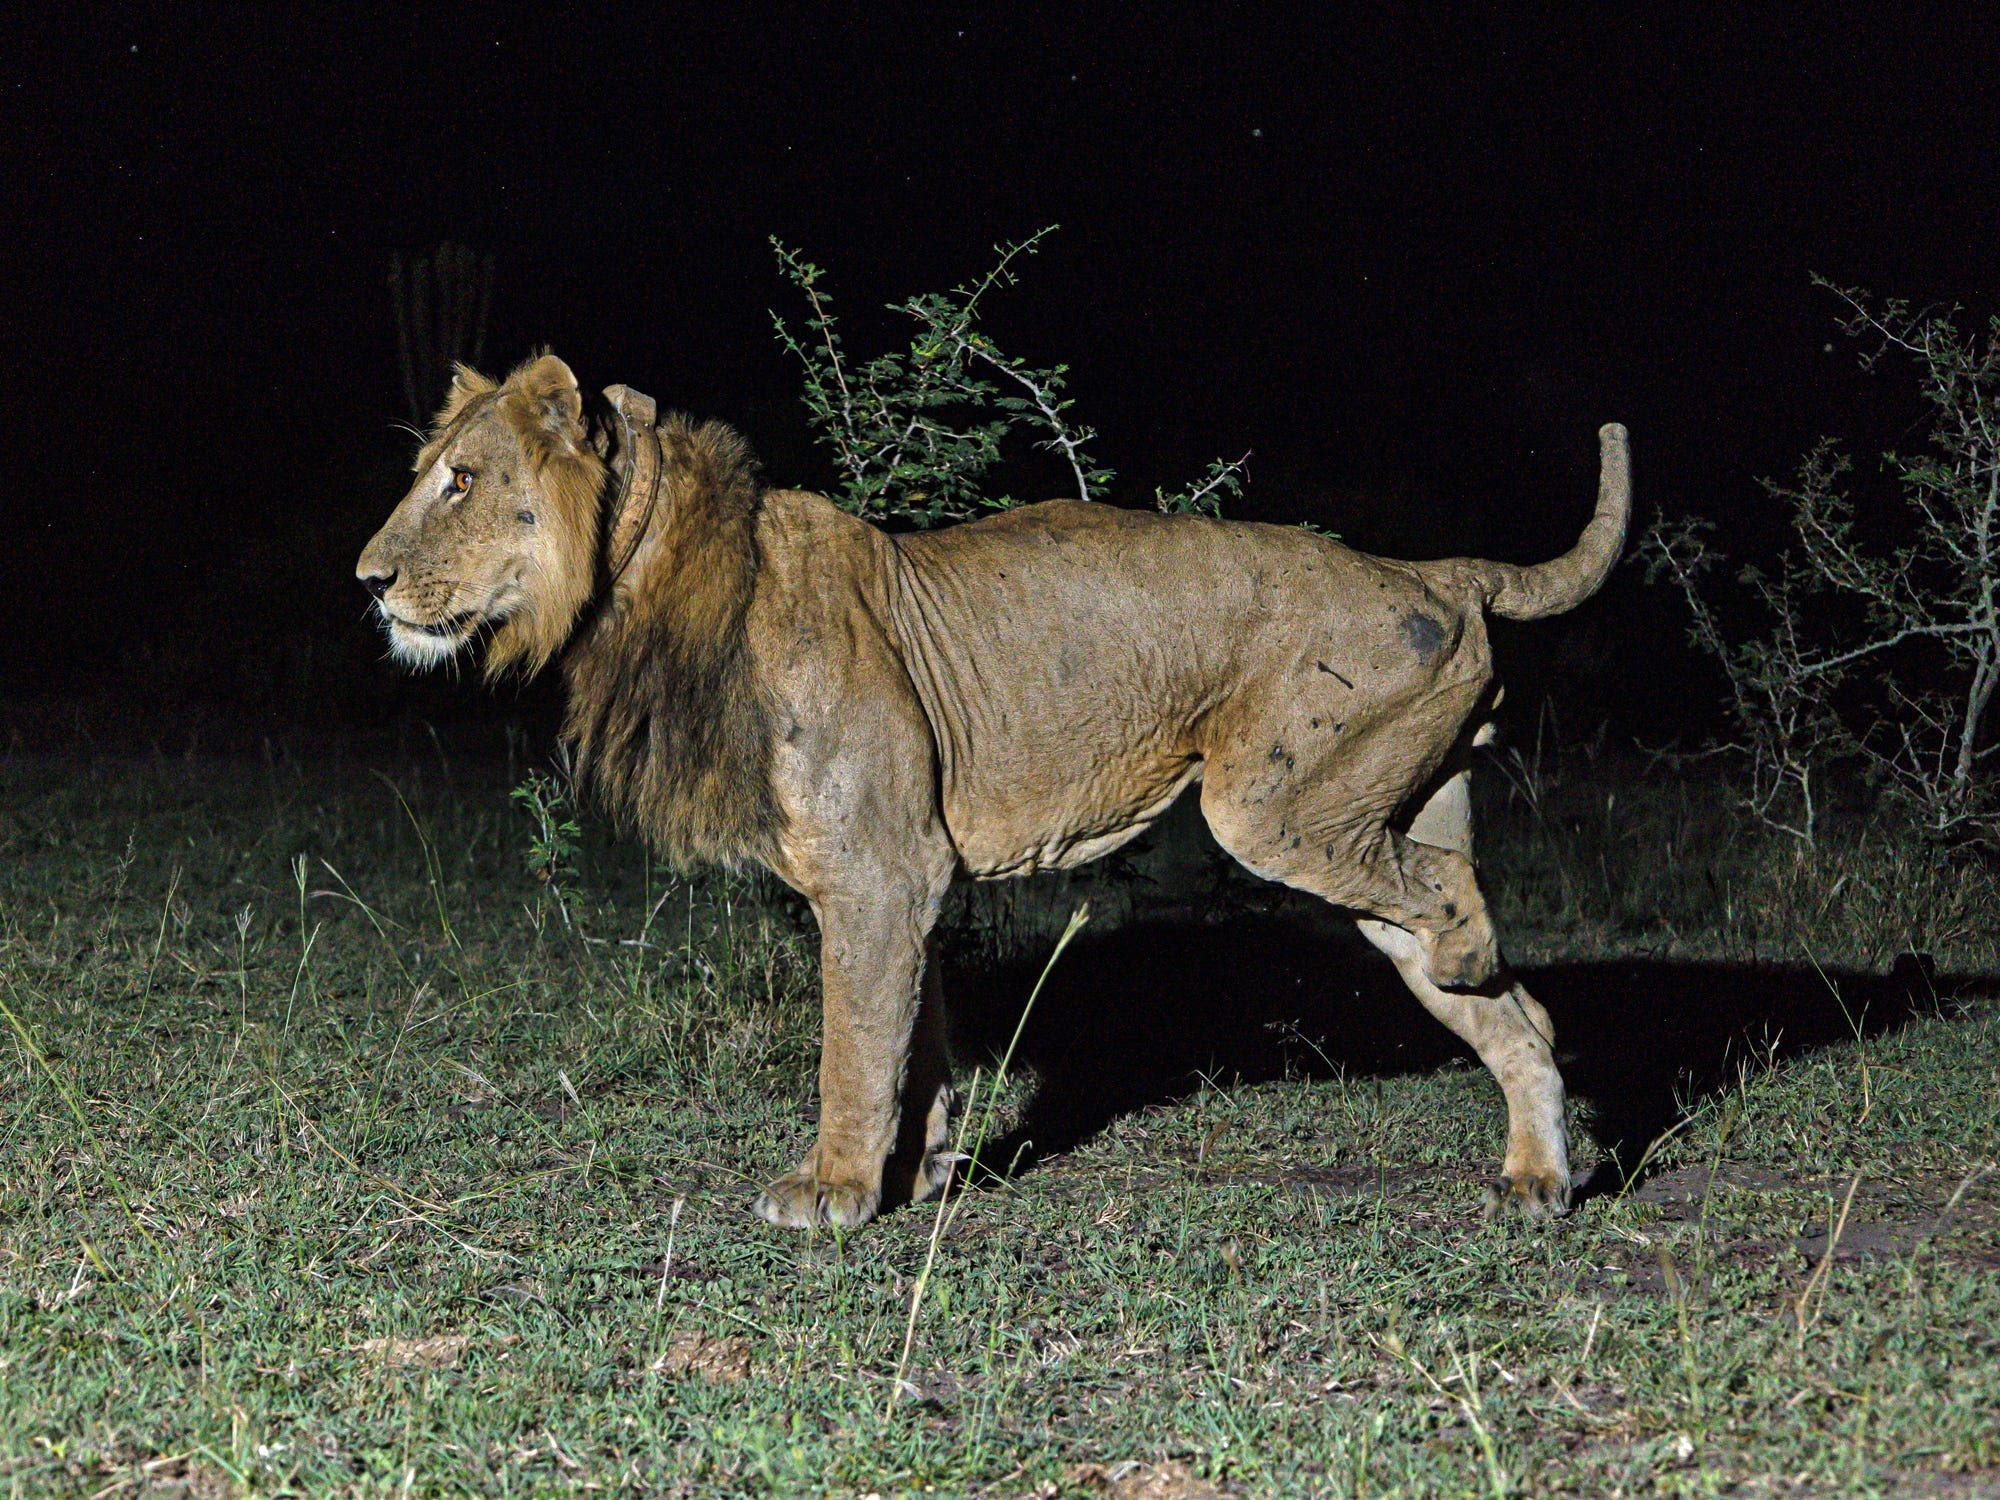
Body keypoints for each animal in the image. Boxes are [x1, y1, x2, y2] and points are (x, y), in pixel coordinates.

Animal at [360, 356, 1632, 1232]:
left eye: (461, 482)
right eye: (426, 476)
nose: (367, 581)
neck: (646, 582)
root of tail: (1427, 569)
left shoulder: (877, 872)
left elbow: (851, 1046)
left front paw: (830, 1190)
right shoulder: (902, 875)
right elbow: (910, 1036)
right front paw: (915, 1171)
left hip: (1273, 806)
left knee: (1453, 902)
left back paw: (1475, 968)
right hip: (1376, 807)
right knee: (1515, 1007)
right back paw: (1536, 1178)